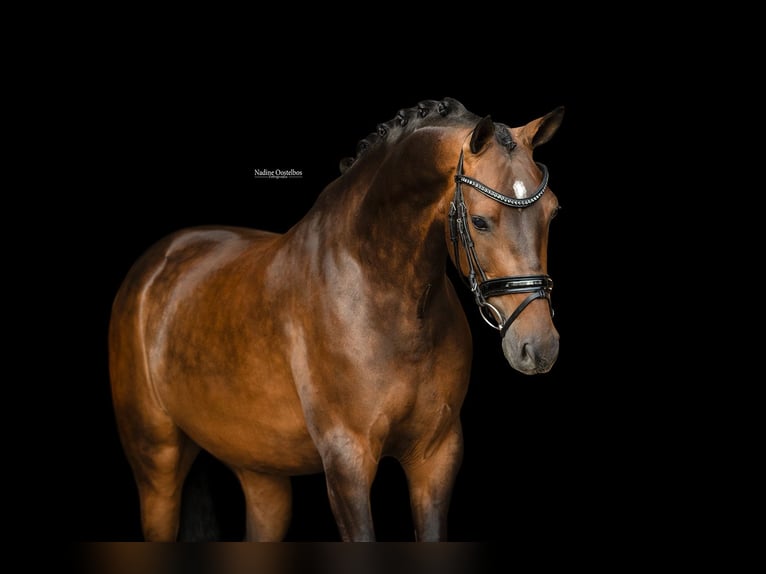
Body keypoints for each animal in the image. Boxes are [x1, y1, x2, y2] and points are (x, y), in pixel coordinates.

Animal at [108, 97, 564, 542]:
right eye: (480, 220)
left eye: (552, 212)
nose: (539, 347)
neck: (383, 293)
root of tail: (153, 267)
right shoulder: (347, 459)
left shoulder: (436, 455)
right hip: (157, 463)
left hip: (259, 472)